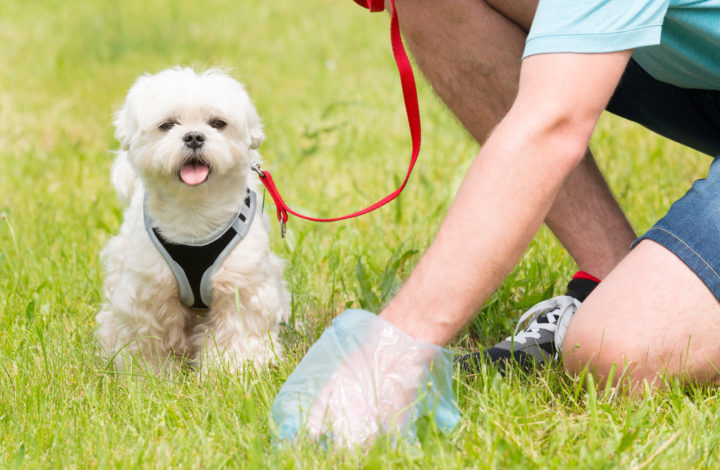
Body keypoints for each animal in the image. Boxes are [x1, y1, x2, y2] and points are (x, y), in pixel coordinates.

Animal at [97, 67, 292, 374]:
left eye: (217, 123)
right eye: (167, 125)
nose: (194, 137)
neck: (194, 213)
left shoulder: (241, 284)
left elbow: (238, 330)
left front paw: (234, 369)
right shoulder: (148, 290)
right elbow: (149, 336)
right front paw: (150, 373)